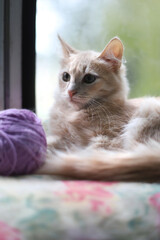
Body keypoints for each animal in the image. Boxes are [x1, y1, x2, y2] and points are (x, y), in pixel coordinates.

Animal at [35, 35, 160, 182]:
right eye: (66, 76)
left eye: (89, 78)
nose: (70, 92)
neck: (75, 113)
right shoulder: (61, 135)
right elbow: (50, 141)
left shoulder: (108, 142)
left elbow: (81, 153)